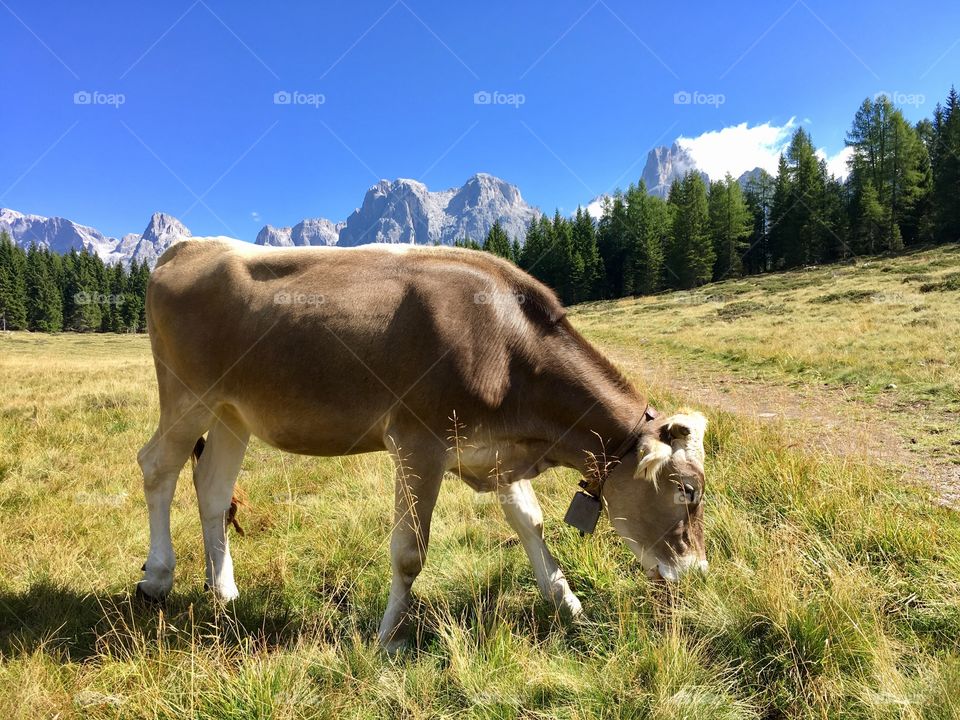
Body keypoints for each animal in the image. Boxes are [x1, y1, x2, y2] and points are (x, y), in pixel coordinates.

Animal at [136, 238, 708, 649]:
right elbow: (410, 553)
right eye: (687, 491)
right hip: (188, 396)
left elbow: (531, 523)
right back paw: (158, 577)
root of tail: (186, 246)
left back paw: (224, 591)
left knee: (212, 489)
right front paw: (387, 640)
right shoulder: (419, 443)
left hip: (233, 412)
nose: (698, 572)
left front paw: (567, 603)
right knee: (156, 465)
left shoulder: (493, 451)